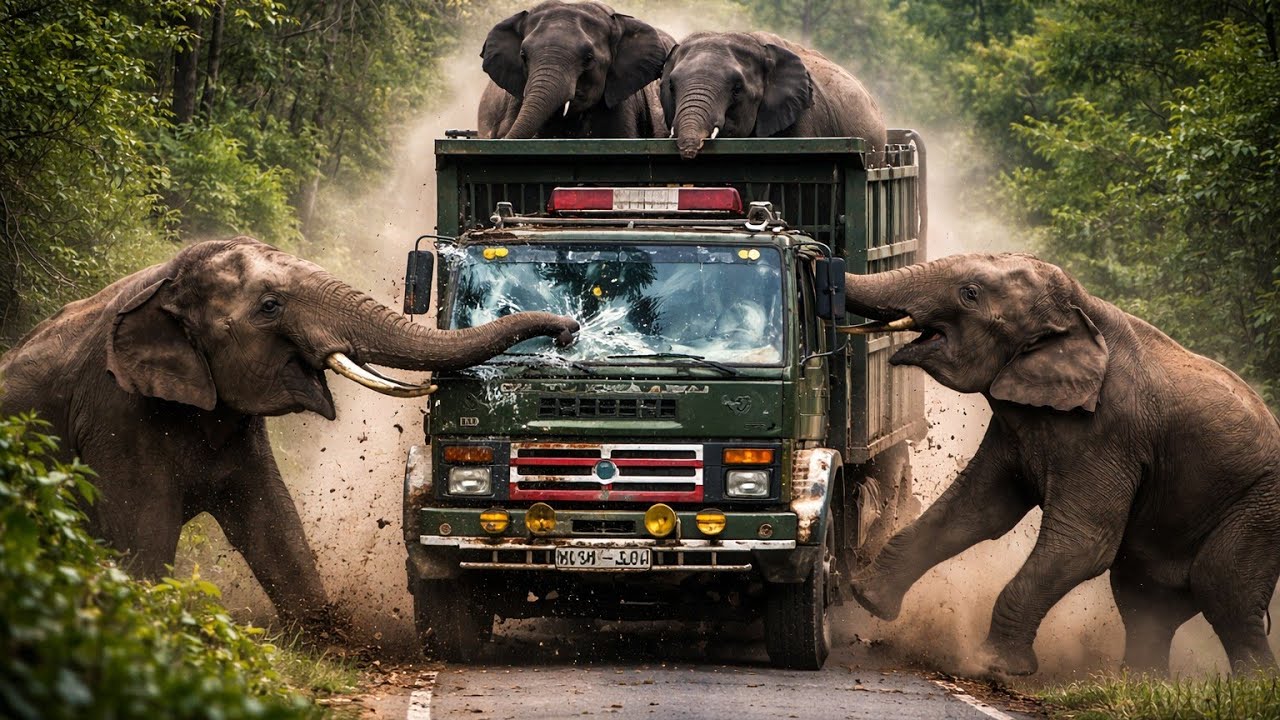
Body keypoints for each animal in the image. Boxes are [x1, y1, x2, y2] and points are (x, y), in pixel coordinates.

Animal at [0, 237, 578, 631]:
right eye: (270, 306)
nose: (568, 331)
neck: (165, 281)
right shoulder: (117, 415)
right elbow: (142, 539)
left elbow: (272, 521)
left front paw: (333, 643)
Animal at [842, 253, 1280, 676]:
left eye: (969, 294)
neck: (1079, 310)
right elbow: (976, 511)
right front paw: (867, 599)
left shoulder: (1110, 433)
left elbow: (1082, 544)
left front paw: (991, 667)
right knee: (1143, 594)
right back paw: (1139, 681)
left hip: (1259, 510)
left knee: (1223, 589)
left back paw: (1251, 686)